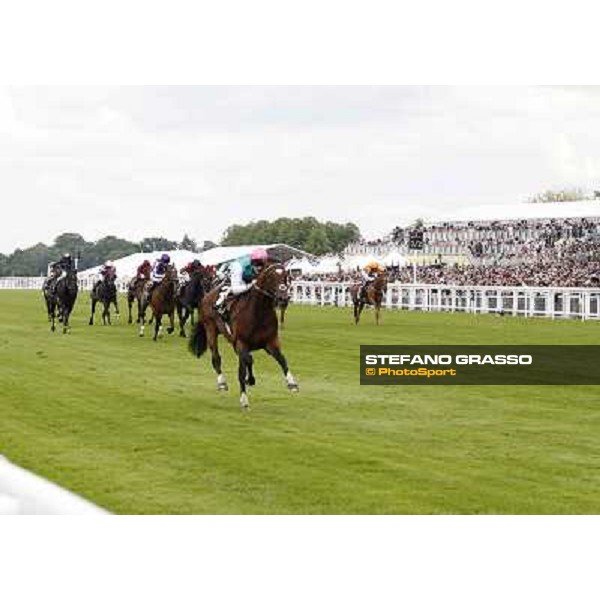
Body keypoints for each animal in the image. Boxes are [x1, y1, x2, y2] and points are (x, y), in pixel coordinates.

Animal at [189, 264, 298, 410]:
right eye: (272, 277)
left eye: (286, 276)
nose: (284, 298)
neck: (259, 313)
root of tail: (206, 296)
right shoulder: (241, 343)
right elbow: (247, 362)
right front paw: (245, 397)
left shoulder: (270, 342)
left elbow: (282, 359)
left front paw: (292, 383)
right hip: (210, 329)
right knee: (216, 358)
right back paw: (222, 382)